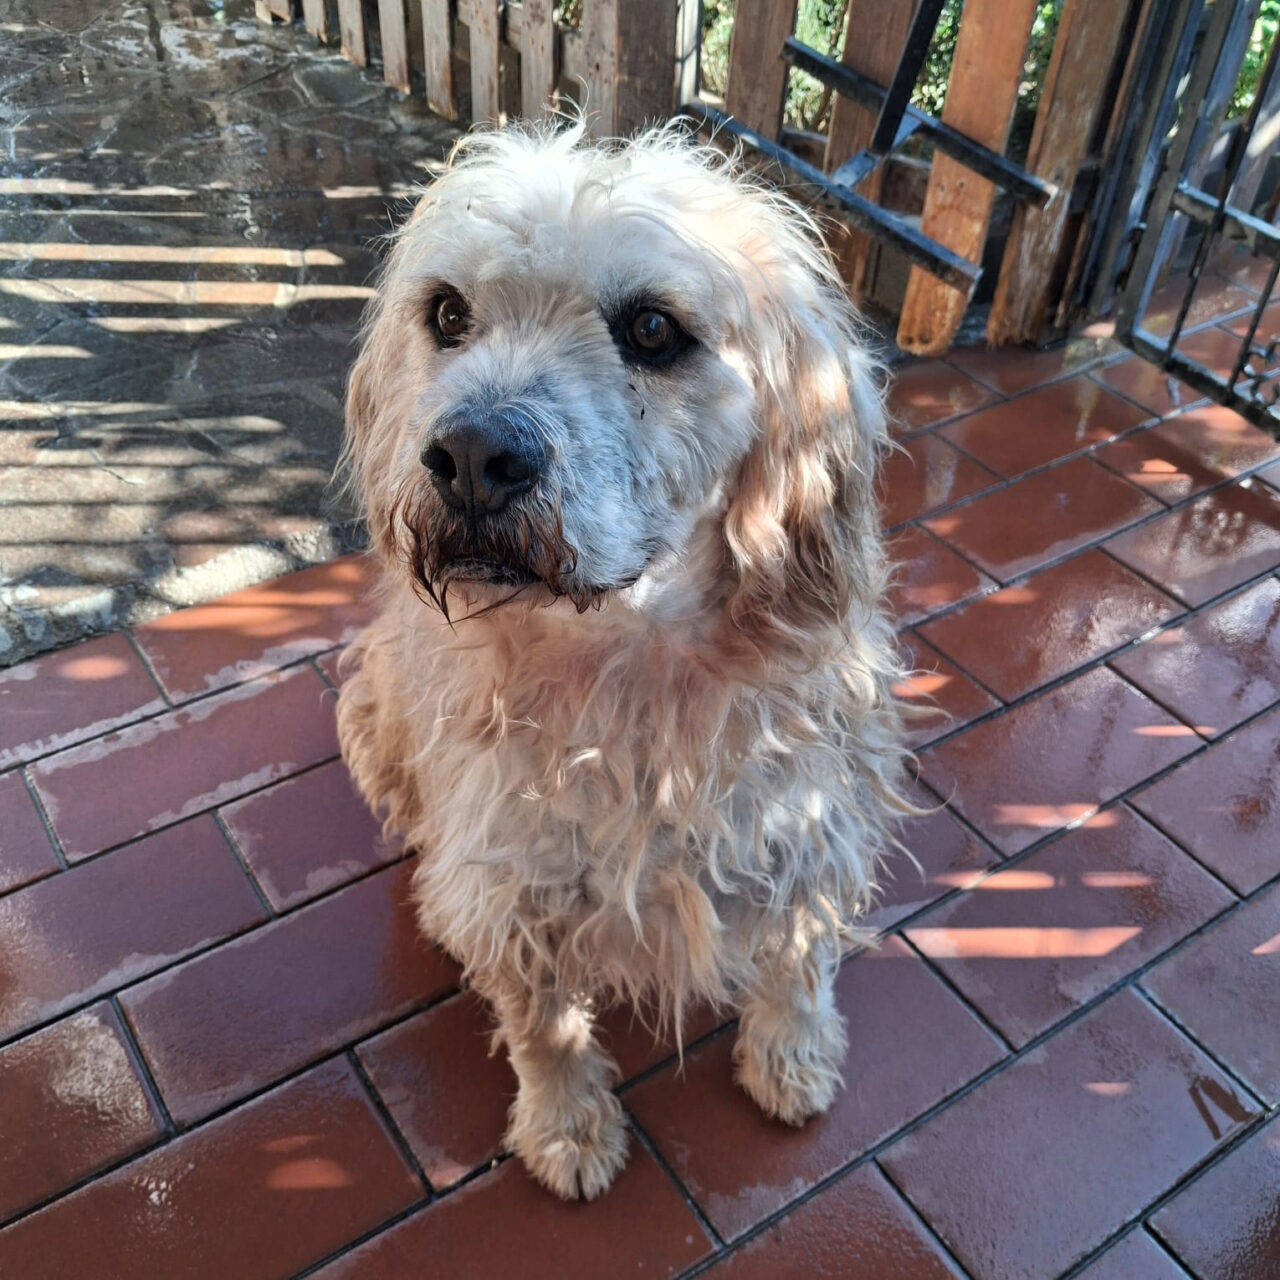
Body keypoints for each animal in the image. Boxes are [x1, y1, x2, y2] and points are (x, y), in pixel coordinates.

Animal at [336, 120, 911, 1200]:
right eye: (447, 313)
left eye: (651, 329)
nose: (472, 456)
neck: (634, 672)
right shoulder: (515, 884)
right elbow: (542, 1023)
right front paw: (566, 1124)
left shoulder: (814, 820)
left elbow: (799, 952)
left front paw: (791, 1052)